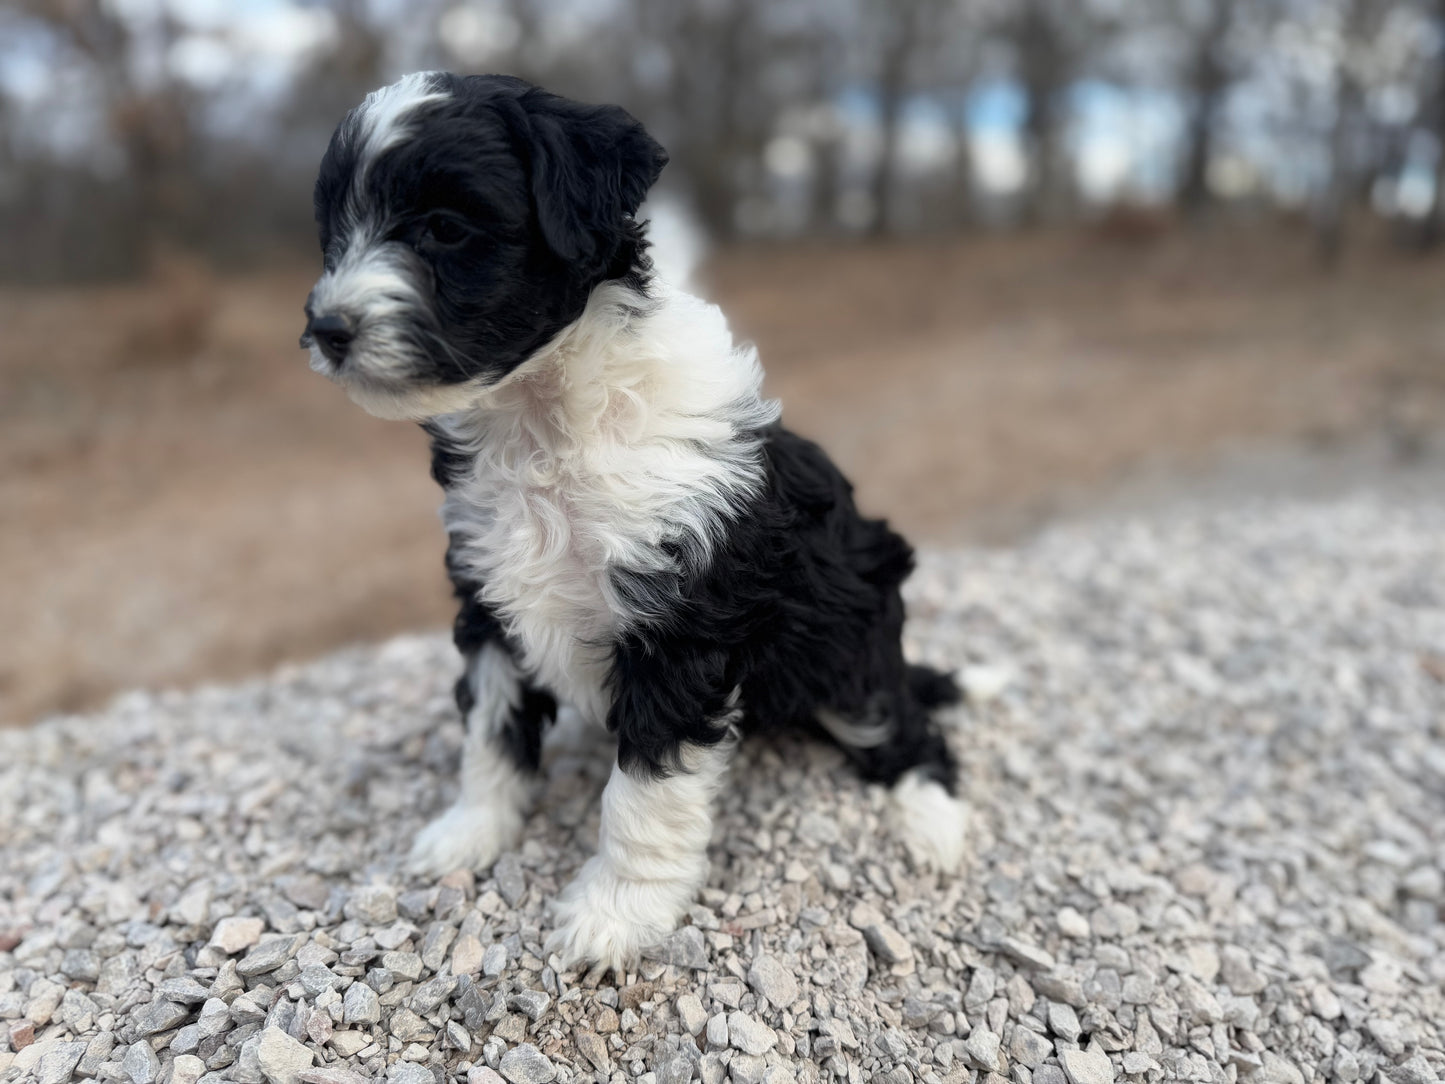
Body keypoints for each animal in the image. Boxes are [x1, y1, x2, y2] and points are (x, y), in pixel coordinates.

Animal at [299, 72, 965, 971]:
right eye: (334, 235)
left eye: (443, 228)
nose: (326, 329)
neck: (546, 419)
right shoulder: (488, 599)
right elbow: (490, 732)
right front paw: (471, 832)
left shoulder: (678, 632)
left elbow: (642, 792)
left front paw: (617, 912)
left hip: (849, 654)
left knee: (910, 729)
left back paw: (934, 826)